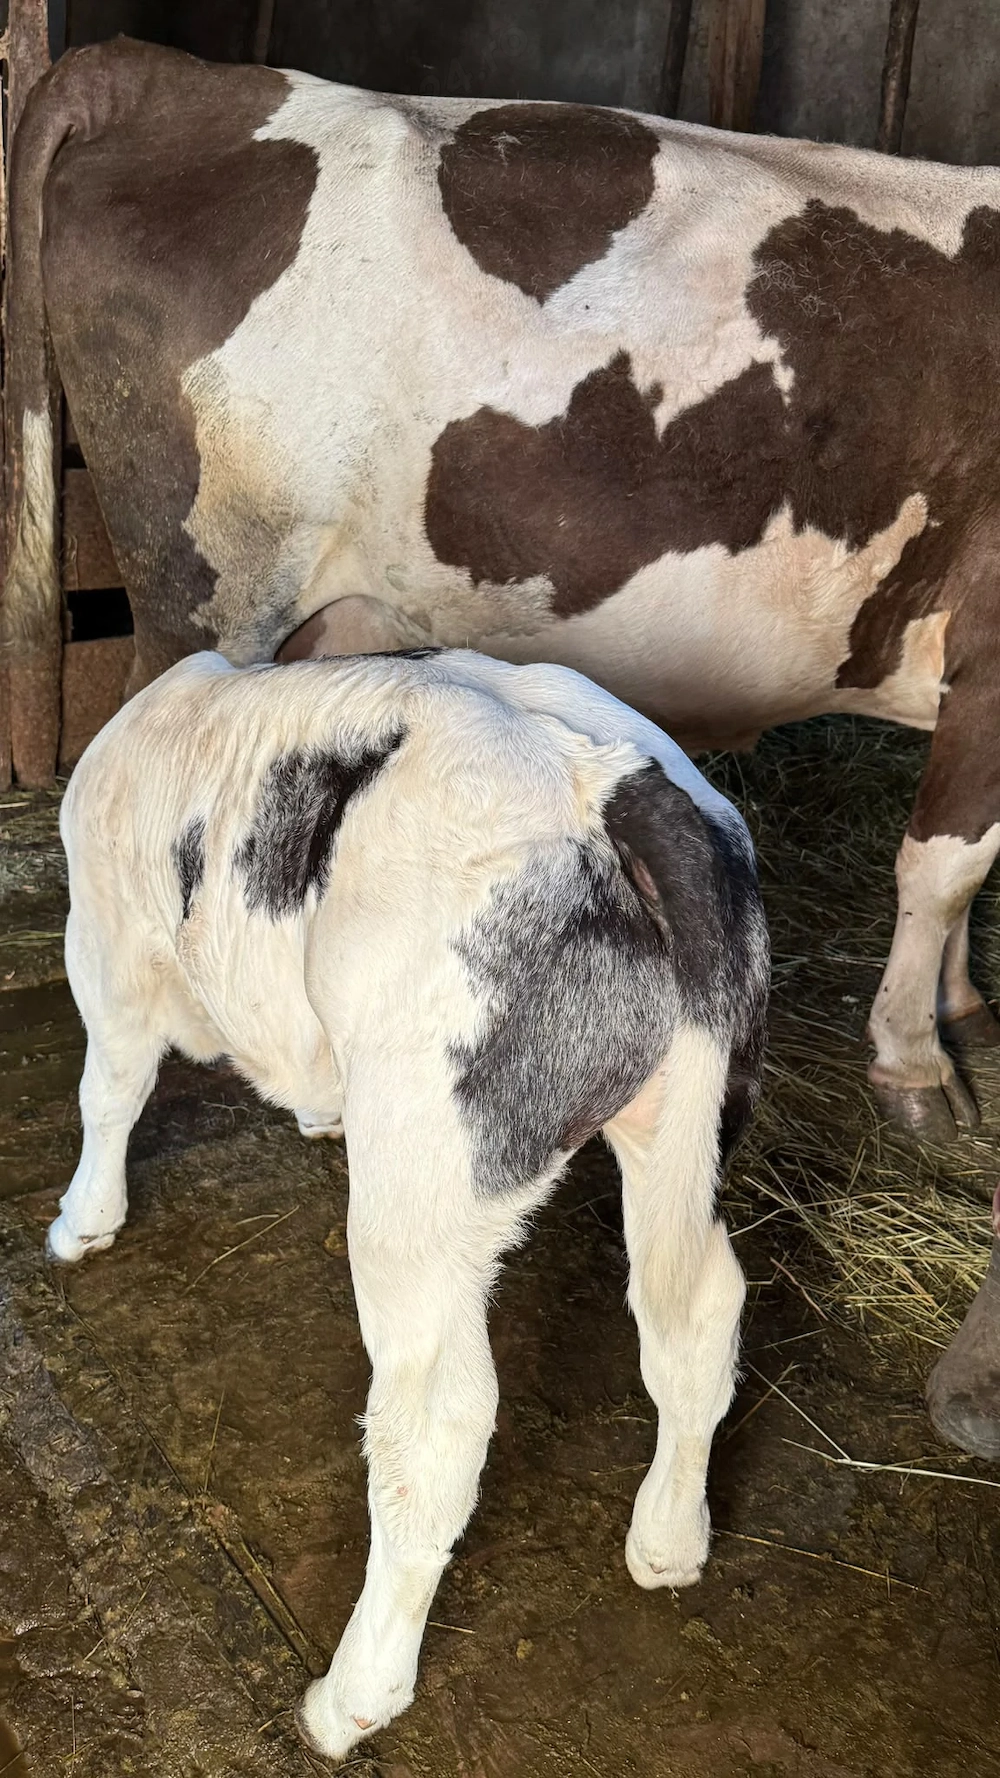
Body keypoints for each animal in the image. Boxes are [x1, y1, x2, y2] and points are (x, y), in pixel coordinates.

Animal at [49, 645, 769, 1761]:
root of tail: (607, 779)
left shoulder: (109, 942)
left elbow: (110, 1086)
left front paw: (81, 1221)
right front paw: (314, 1114)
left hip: (422, 1177)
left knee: (434, 1422)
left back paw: (351, 1696)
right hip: (686, 1114)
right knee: (692, 1314)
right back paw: (666, 1539)